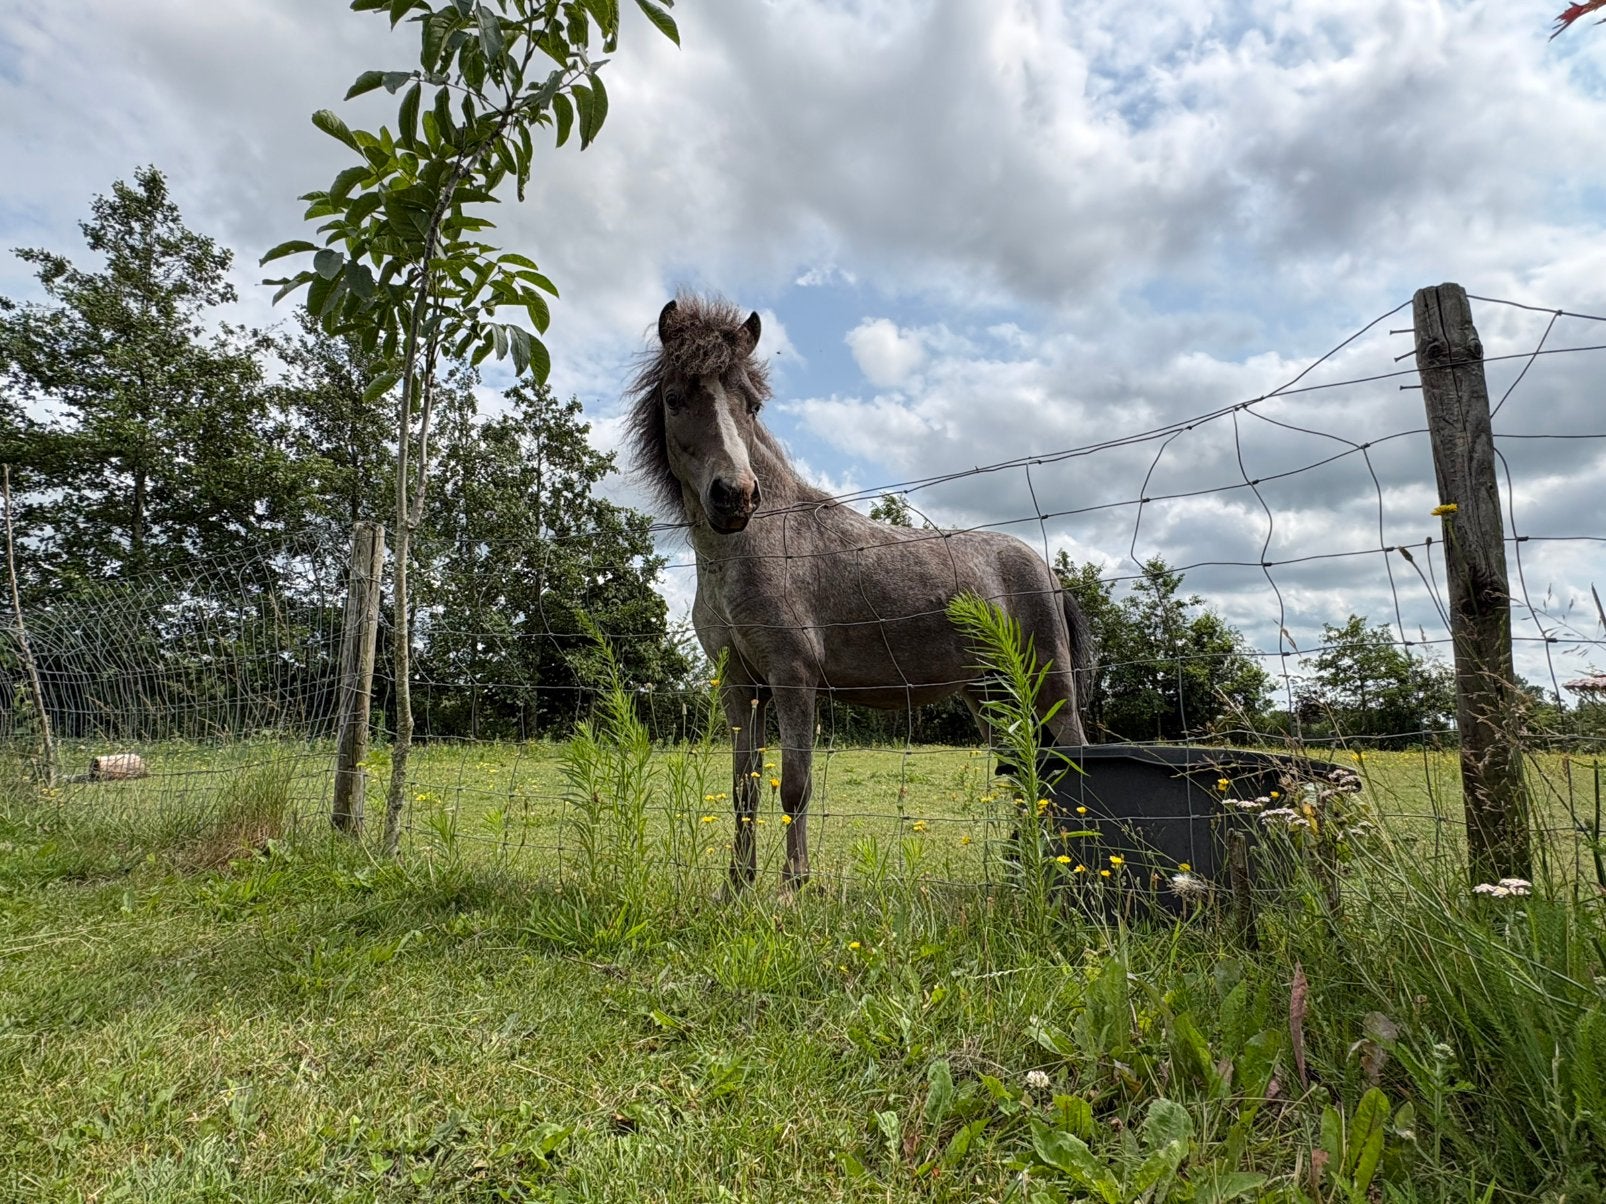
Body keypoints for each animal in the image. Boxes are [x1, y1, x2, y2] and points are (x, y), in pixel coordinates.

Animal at [626, 293, 1092, 893]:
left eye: (751, 405)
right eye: (675, 398)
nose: (735, 496)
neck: (758, 546)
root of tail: (1047, 572)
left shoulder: (793, 678)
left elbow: (795, 785)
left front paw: (793, 887)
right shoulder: (739, 685)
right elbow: (744, 787)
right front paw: (736, 886)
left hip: (1050, 686)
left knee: (1072, 763)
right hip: (989, 694)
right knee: (1024, 771)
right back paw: (1021, 871)